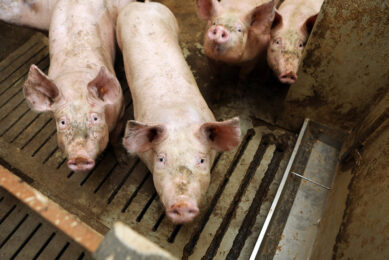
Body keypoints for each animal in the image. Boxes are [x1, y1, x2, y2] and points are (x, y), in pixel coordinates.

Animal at [17, 0, 136, 171]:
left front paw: (123, 162)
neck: (76, 86)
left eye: (95, 118)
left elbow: (114, 139)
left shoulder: (121, 112)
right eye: (62, 122)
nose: (80, 157)